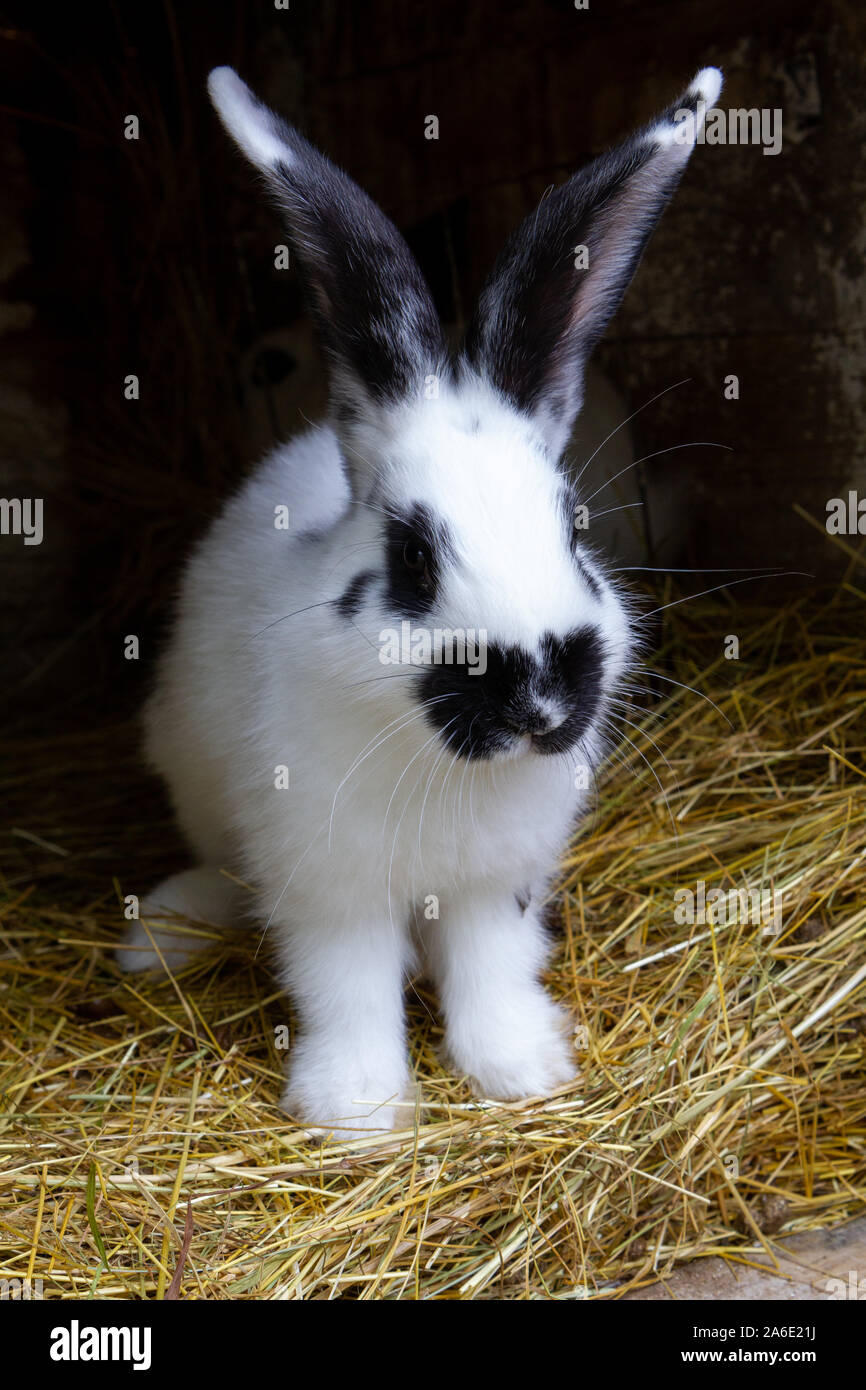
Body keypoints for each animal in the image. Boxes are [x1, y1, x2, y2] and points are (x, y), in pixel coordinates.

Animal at [118, 64, 723, 1138]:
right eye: (411, 559)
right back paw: (165, 931)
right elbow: (348, 987)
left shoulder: (497, 884)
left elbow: (491, 971)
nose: (541, 703)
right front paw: (356, 1111)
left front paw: (521, 1071)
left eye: (575, 529)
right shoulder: (332, 887)